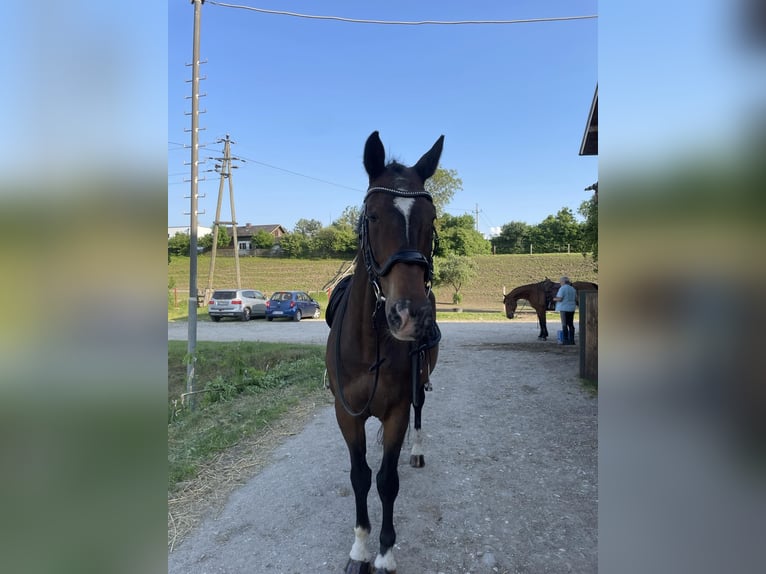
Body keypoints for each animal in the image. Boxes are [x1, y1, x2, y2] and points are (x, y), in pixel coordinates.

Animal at [328, 132, 448, 574]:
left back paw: (417, 451)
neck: (369, 344)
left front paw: (384, 553)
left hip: (418, 388)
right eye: (373, 216)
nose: (411, 315)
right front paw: (360, 548)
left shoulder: (396, 410)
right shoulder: (346, 413)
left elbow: (386, 480)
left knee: (419, 414)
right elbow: (361, 475)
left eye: (431, 219)